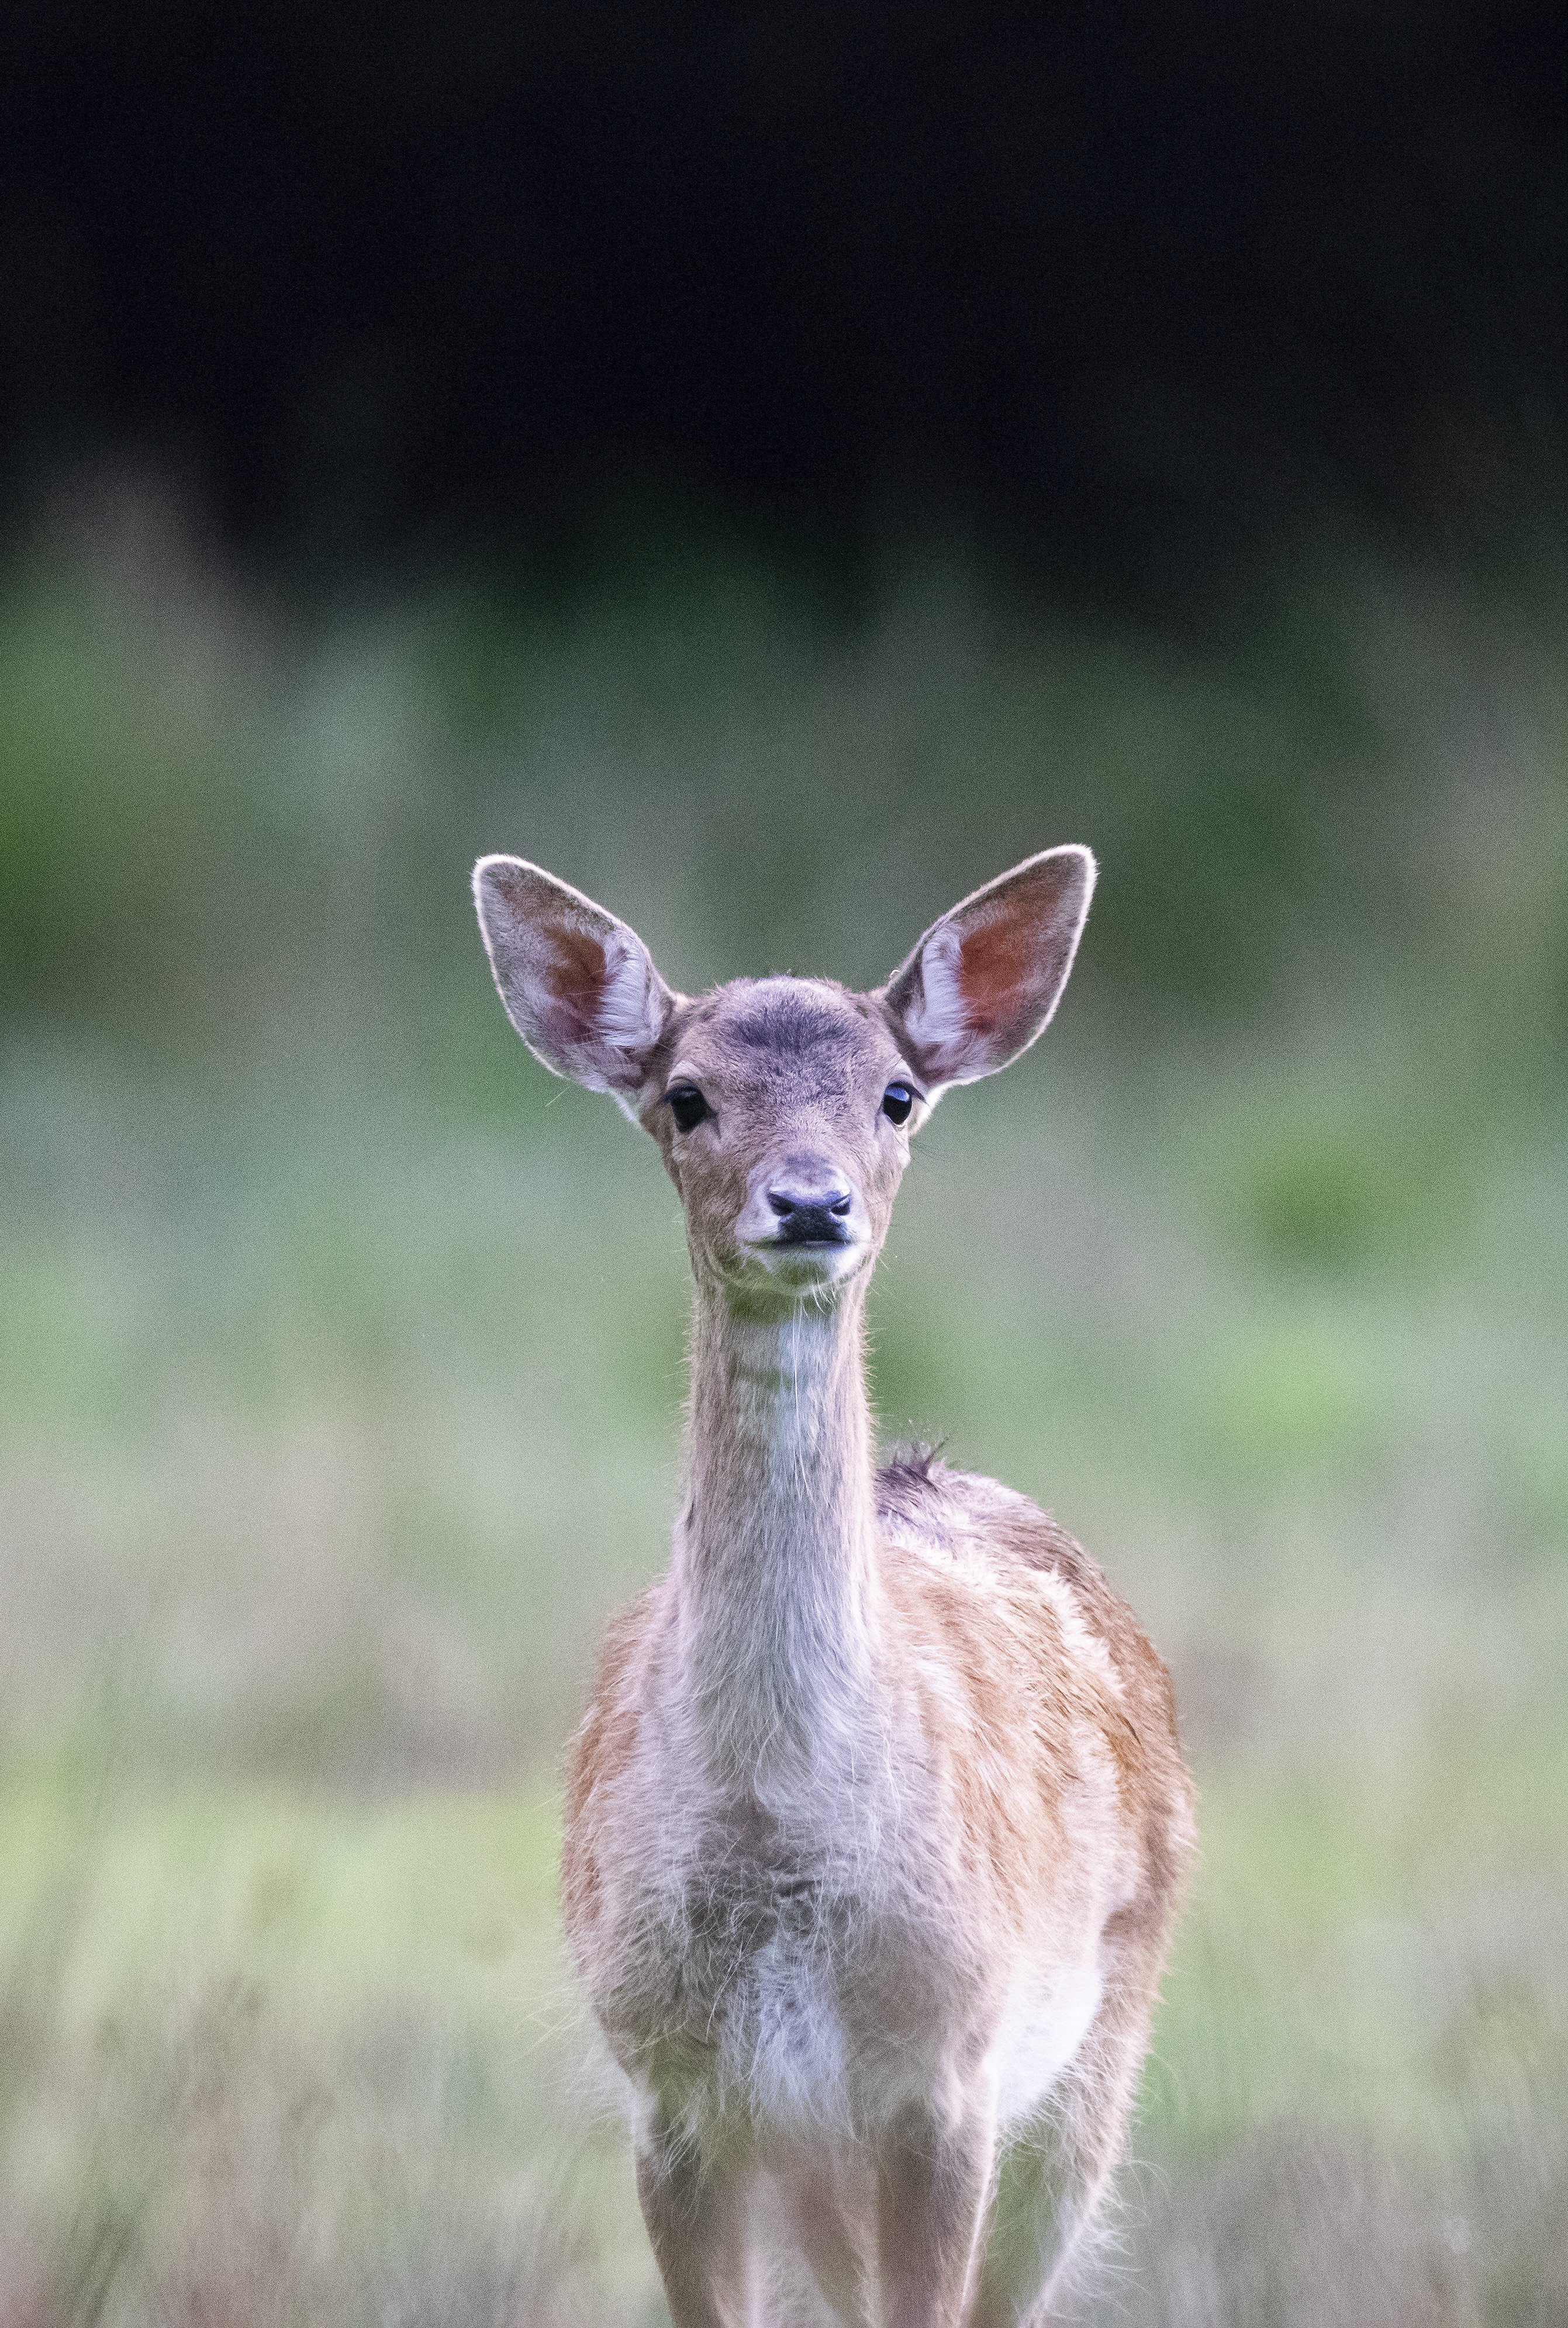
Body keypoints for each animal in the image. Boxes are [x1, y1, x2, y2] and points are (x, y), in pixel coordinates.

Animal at [469, 843, 1191, 2328]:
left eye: (895, 1093)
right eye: (686, 1094)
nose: (811, 1199)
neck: (776, 1829)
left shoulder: (947, 2070)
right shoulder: (674, 2088)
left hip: (1103, 2043)